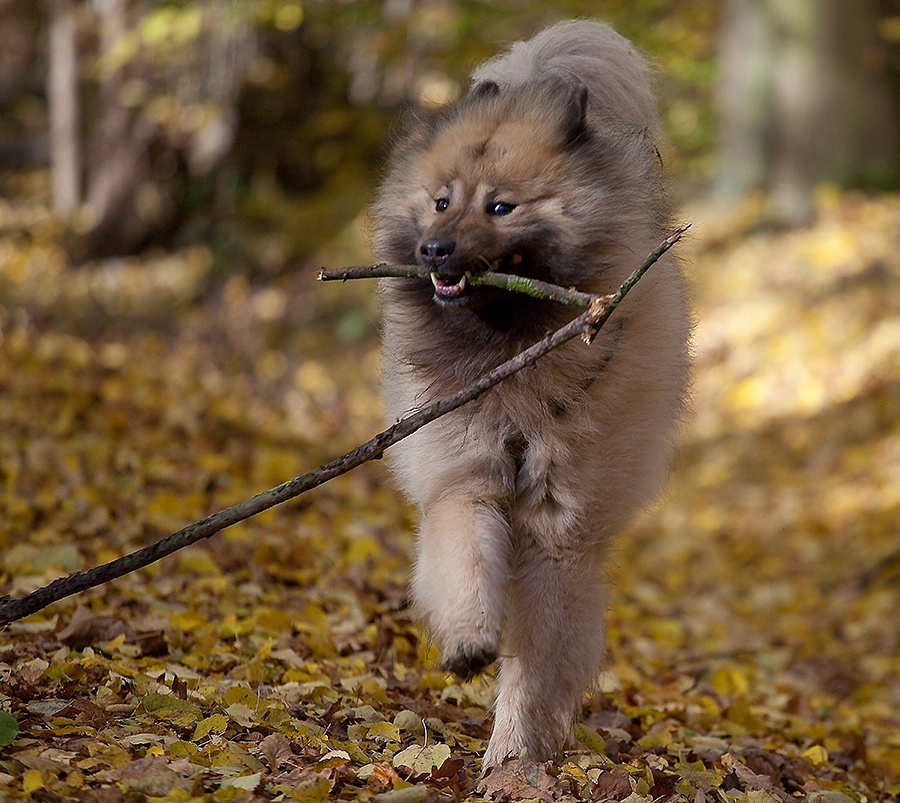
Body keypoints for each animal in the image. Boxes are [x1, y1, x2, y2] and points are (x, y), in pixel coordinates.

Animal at [370, 20, 692, 772]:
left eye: (501, 207)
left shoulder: (558, 530)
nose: (433, 250)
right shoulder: (463, 477)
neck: (511, 352)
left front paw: (516, 749)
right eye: (441, 200)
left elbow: (540, 658)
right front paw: (467, 640)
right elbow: (462, 557)